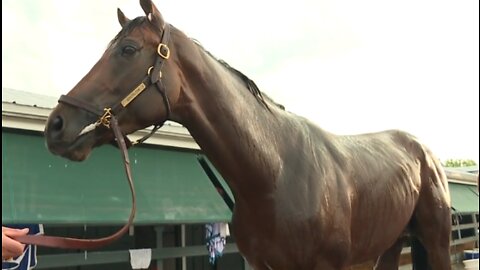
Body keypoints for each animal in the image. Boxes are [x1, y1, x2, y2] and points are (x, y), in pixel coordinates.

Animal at [43, 1, 452, 268]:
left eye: (127, 50)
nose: (56, 125)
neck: (275, 174)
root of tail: (423, 151)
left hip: (437, 241)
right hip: (389, 244)